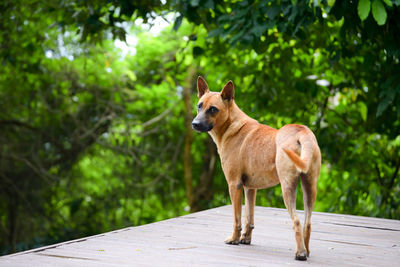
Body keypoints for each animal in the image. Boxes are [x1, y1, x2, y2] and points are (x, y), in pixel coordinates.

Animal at [192, 77, 320, 262]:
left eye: (213, 109)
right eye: (199, 106)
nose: (194, 124)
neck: (231, 126)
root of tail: (301, 132)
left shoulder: (234, 185)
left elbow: (237, 219)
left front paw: (234, 239)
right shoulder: (250, 188)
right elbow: (249, 217)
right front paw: (245, 239)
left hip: (287, 188)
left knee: (296, 221)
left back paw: (300, 253)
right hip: (309, 188)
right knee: (307, 223)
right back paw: (306, 250)